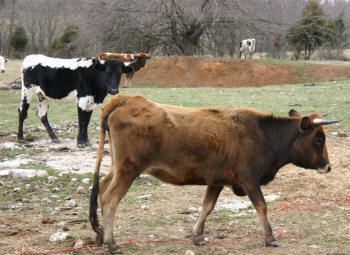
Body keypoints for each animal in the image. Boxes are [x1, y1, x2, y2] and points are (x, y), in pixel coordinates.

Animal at [90, 94, 340, 254]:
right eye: (319, 139)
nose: (327, 166)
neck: (263, 135)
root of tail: (127, 100)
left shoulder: (216, 181)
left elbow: (206, 207)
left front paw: (197, 236)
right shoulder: (250, 180)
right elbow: (262, 206)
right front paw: (270, 238)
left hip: (117, 169)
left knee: (102, 189)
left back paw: (100, 234)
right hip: (128, 171)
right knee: (111, 199)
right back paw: (111, 243)